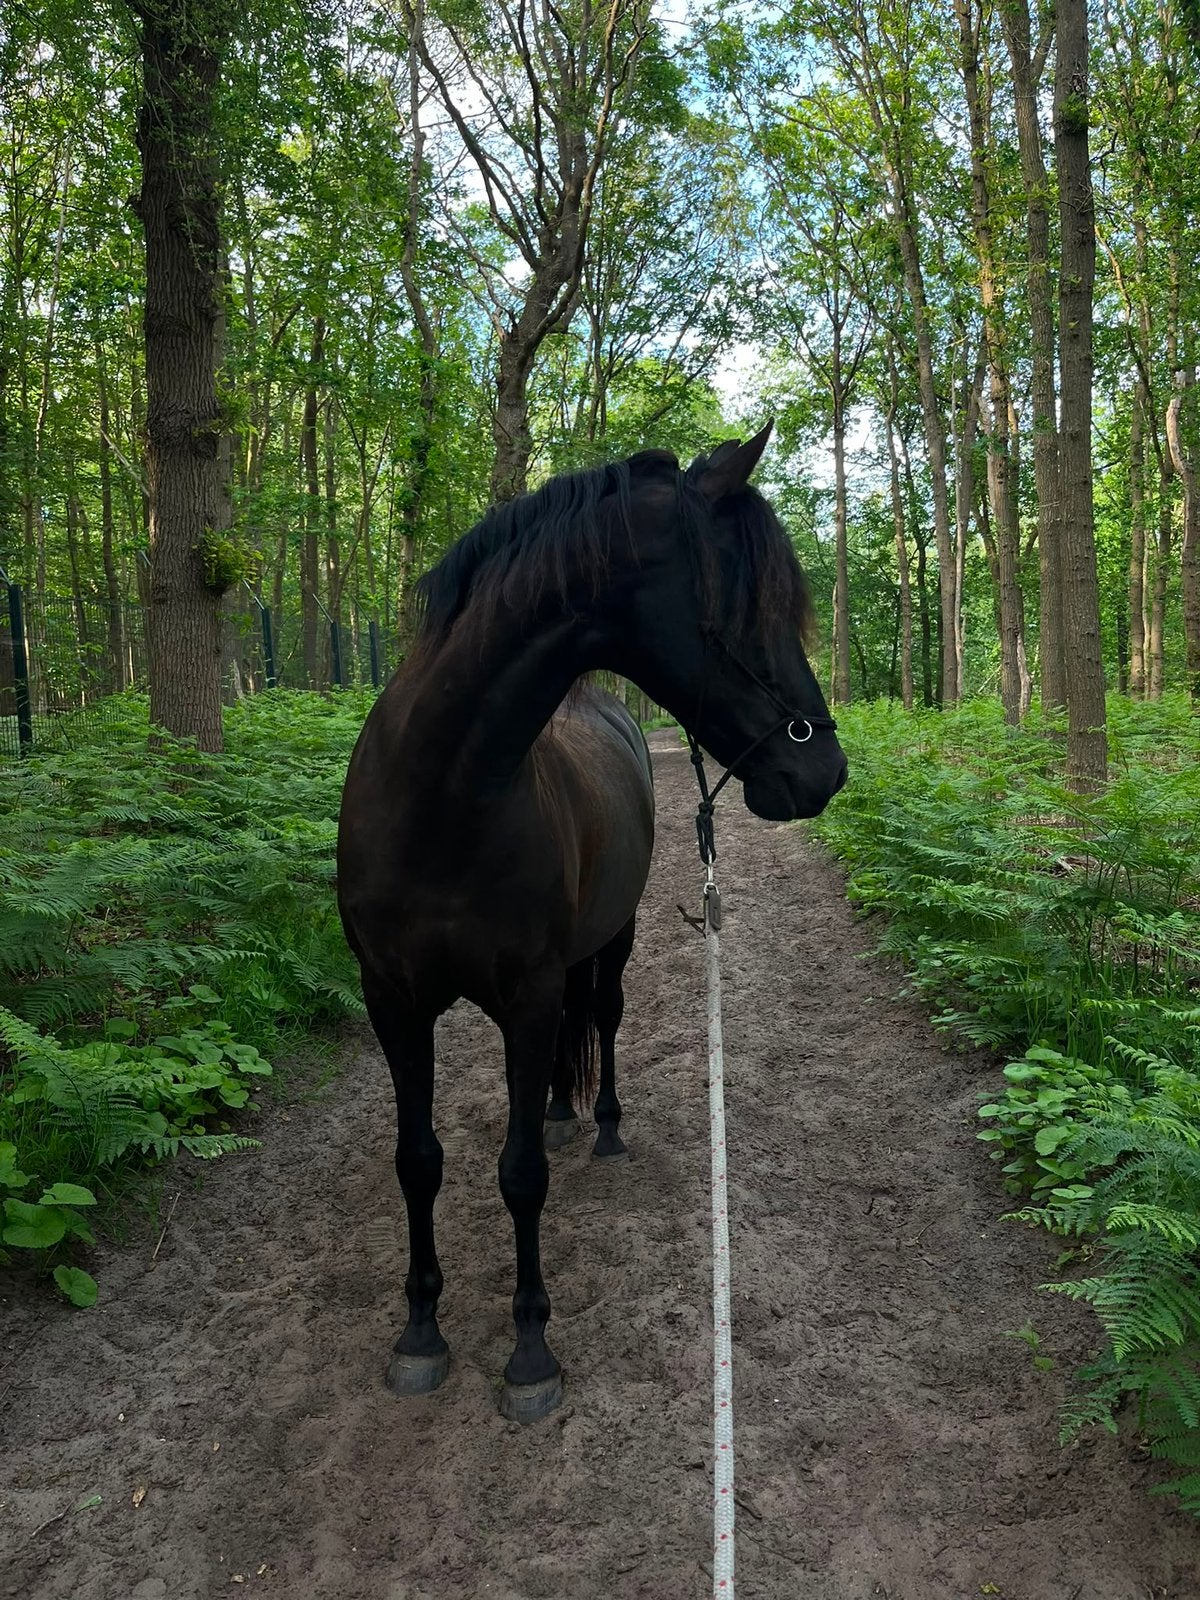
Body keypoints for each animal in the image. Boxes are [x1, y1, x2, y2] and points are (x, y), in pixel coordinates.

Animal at [336, 422, 847, 1423]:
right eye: (749, 607)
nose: (826, 772)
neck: (442, 798)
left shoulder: (531, 998)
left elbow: (520, 1174)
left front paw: (531, 1350)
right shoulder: (394, 1004)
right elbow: (419, 1160)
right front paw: (420, 1332)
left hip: (612, 942)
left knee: (602, 1022)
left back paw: (600, 1123)